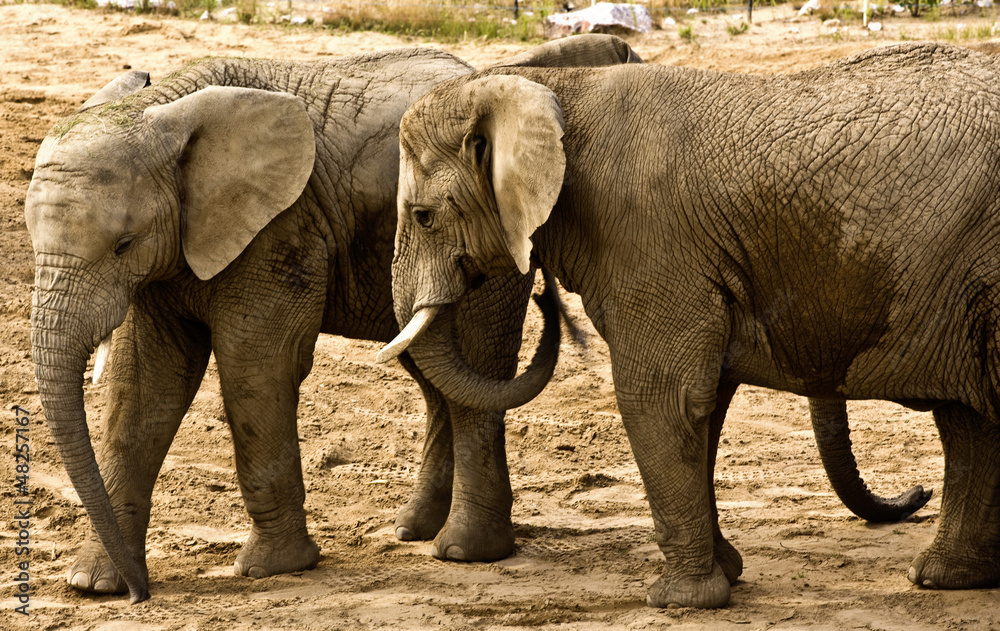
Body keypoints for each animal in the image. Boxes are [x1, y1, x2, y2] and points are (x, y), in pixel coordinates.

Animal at [23, 36, 643, 603]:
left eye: (123, 244)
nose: (141, 595)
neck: (165, 108)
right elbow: (144, 385)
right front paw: (94, 584)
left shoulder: (281, 228)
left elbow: (255, 367)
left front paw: (271, 570)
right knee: (437, 369)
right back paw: (412, 530)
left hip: (489, 241)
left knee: (475, 368)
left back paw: (464, 552)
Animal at [381, 42, 1000, 609]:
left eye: (423, 217)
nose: (539, 295)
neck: (551, 86)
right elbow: (705, 401)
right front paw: (725, 574)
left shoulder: (645, 237)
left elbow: (661, 397)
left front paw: (679, 601)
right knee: (969, 421)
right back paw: (941, 579)